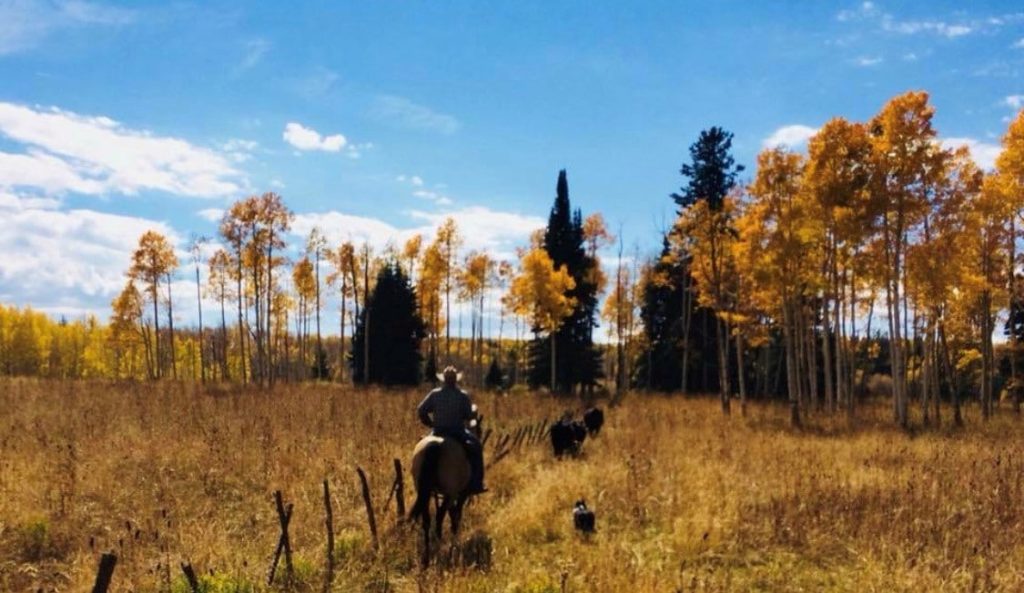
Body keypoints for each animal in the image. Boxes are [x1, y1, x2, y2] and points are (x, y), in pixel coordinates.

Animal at [407, 407, 483, 565]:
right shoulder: (461, 494)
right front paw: (455, 539)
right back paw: (440, 546)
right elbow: (456, 515)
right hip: (450, 493)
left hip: (424, 493)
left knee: (427, 520)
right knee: (440, 517)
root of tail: (436, 444)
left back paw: (428, 555)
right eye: (479, 429)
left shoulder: (438, 494)